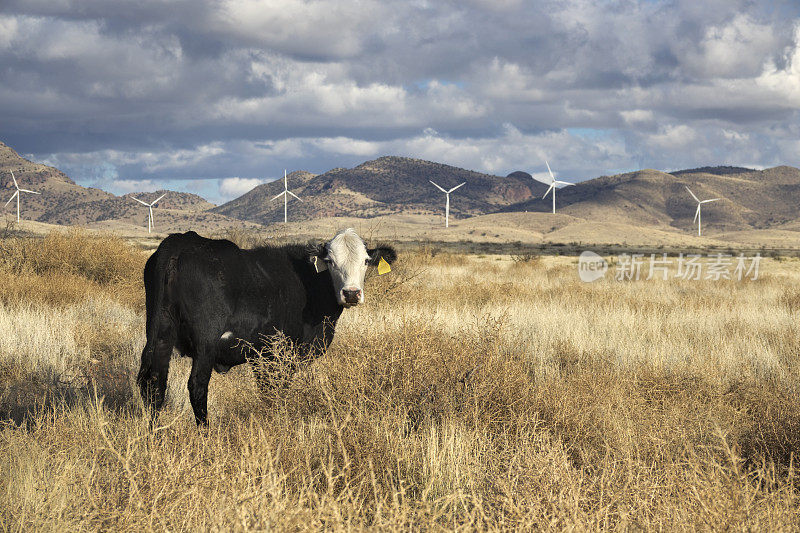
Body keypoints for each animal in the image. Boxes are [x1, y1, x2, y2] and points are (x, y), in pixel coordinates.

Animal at [141, 229, 400, 424]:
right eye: (330, 262)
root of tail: (181, 242)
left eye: (365, 261)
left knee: (155, 383)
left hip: (161, 333)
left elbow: (267, 391)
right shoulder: (283, 351)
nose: (352, 293)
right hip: (206, 342)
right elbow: (277, 390)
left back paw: (155, 435)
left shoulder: (261, 354)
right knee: (197, 385)